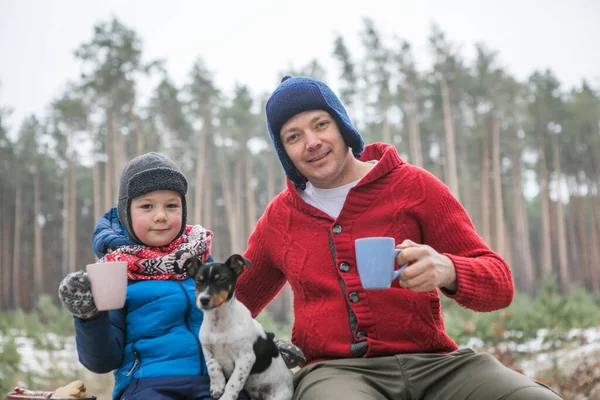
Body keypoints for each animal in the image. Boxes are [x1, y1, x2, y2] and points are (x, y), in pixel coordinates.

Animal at [185, 255, 292, 400]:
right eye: (198, 280)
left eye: (222, 279)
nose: (203, 299)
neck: (219, 322)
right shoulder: (207, 350)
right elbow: (213, 368)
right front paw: (217, 387)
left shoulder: (245, 358)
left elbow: (234, 382)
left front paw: (226, 397)